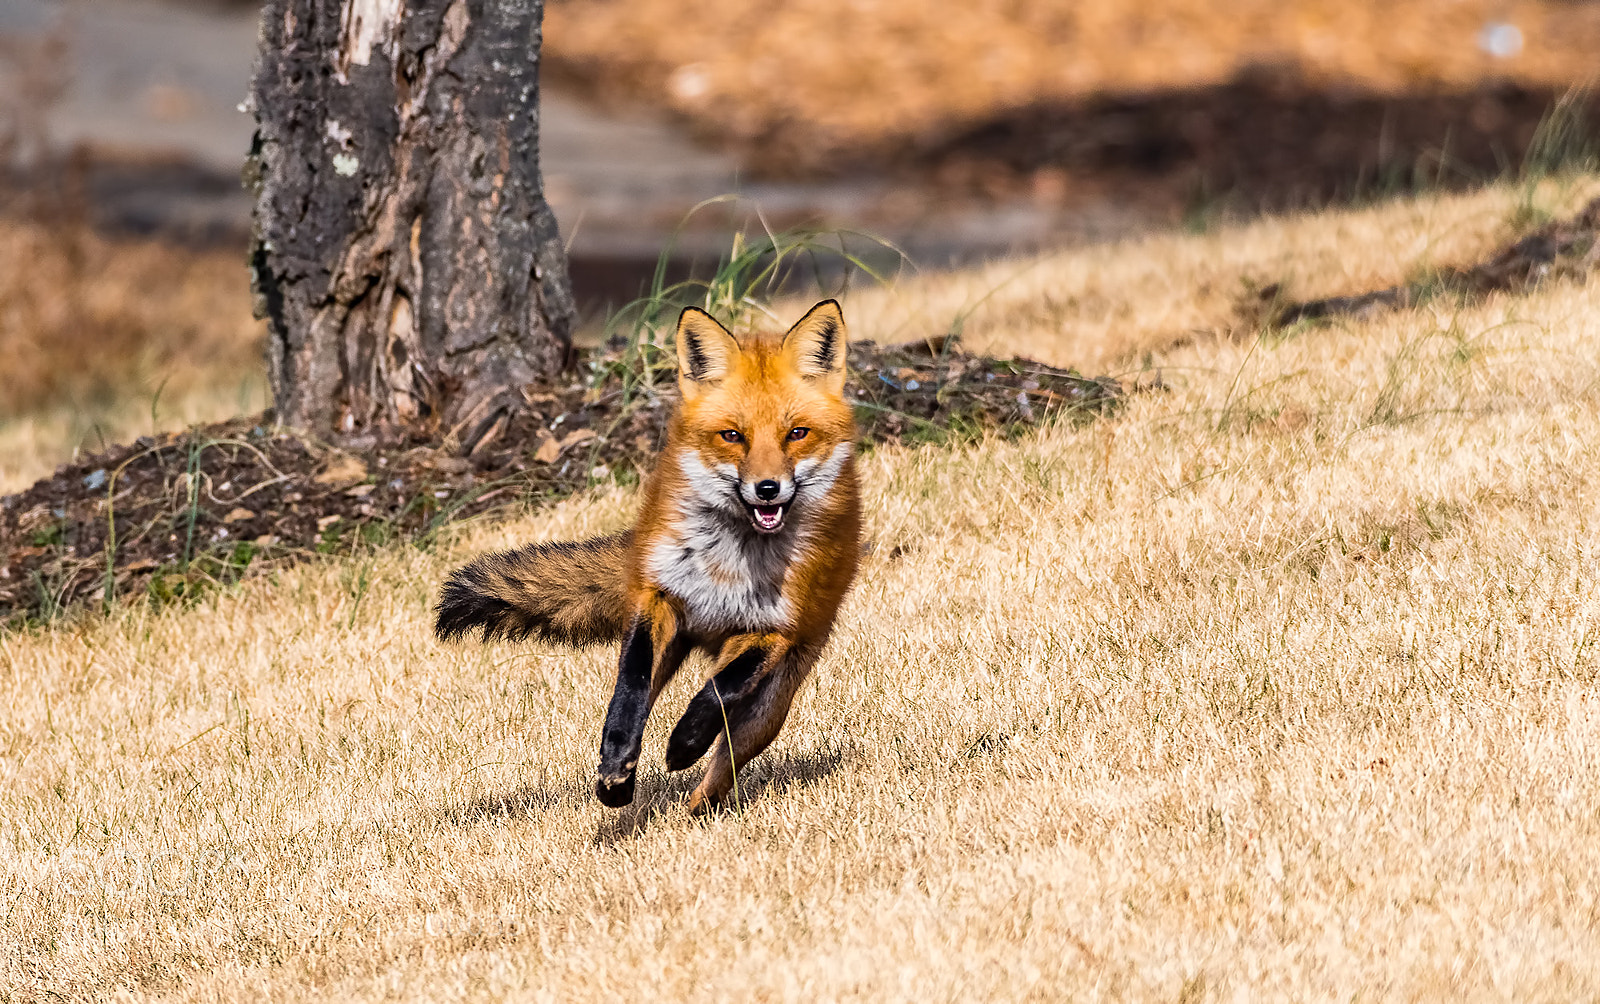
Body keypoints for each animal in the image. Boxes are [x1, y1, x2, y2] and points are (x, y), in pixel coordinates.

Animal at [434, 300, 861, 814]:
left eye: (797, 433)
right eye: (732, 436)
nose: (767, 489)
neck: (729, 562)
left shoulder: (772, 630)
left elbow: (718, 693)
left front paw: (684, 743)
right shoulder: (657, 597)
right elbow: (631, 686)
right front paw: (617, 761)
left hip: (769, 702)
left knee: (726, 755)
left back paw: (698, 806)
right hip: (677, 638)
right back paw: (618, 778)